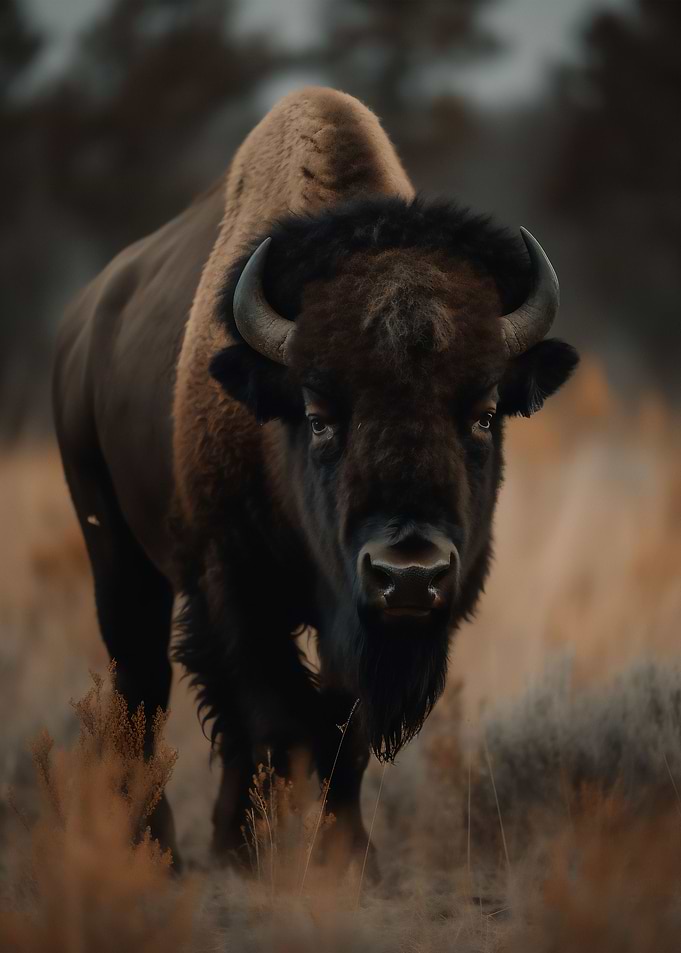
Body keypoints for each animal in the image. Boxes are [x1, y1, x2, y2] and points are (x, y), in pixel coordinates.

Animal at [53, 87, 578, 870]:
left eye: (485, 413)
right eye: (319, 414)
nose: (409, 574)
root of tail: (81, 326)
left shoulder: (354, 626)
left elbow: (340, 735)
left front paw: (343, 855)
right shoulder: (232, 587)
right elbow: (277, 721)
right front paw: (273, 856)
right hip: (114, 549)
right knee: (138, 684)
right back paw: (157, 847)